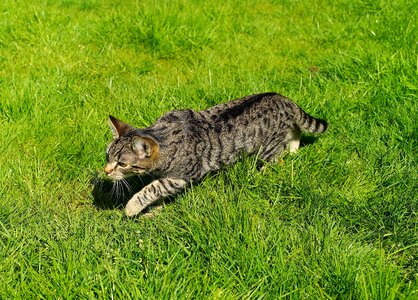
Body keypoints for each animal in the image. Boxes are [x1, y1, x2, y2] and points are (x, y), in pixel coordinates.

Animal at [103, 91, 326, 216]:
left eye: (122, 164)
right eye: (107, 156)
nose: (105, 171)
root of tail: (283, 99)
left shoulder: (183, 176)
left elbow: (152, 189)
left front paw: (132, 207)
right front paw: (154, 207)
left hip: (268, 151)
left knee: (277, 160)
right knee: (295, 130)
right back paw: (294, 149)